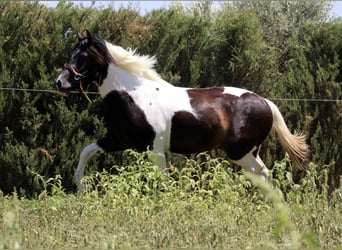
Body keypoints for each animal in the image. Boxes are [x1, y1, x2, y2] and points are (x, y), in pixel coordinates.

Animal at [53, 30, 310, 190]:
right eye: (72, 54)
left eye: (83, 56)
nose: (59, 82)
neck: (134, 95)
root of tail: (266, 102)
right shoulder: (118, 140)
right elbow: (86, 151)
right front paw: (81, 185)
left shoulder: (154, 148)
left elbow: (162, 180)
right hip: (249, 152)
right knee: (262, 175)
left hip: (240, 152)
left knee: (262, 174)